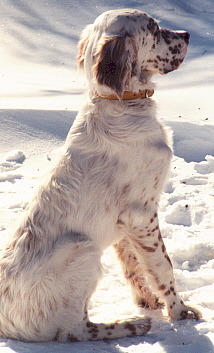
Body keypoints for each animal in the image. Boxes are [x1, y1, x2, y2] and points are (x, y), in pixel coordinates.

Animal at [0, 8, 201, 340]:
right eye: (154, 28)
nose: (187, 35)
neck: (120, 104)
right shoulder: (141, 213)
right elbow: (163, 265)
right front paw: (179, 312)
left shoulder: (124, 224)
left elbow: (133, 265)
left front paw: (148, 300)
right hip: (82, 248)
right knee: (77, 330)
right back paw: (129, 324)